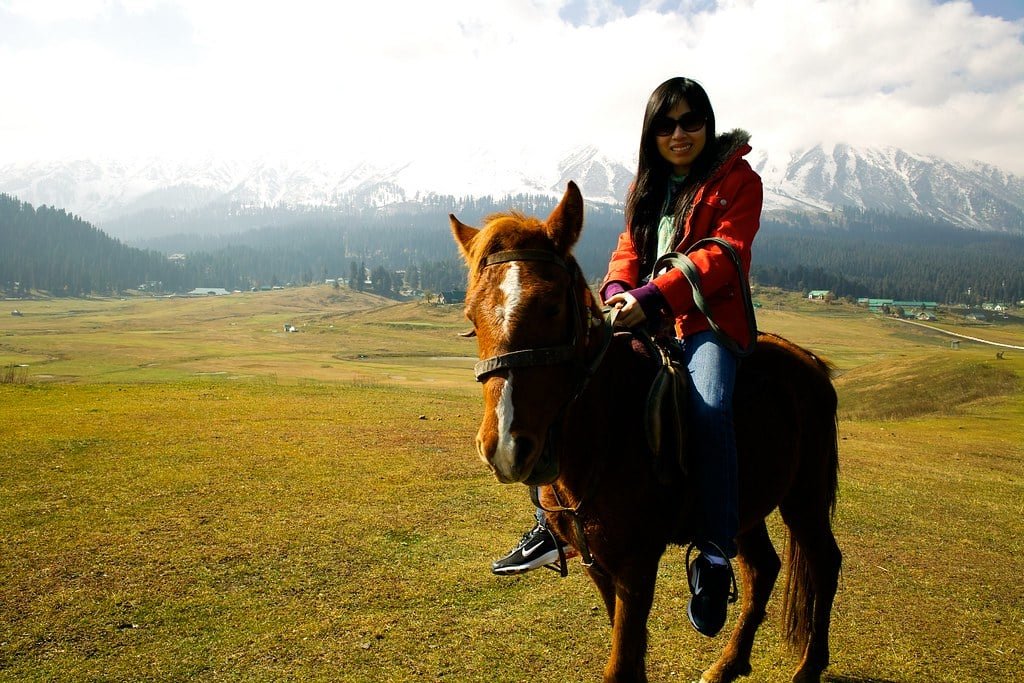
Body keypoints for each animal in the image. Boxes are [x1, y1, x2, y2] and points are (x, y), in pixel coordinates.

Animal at [449, 181, 841, 683]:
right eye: (470, 317)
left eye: (552, 306)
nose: (504, 447)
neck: (607, 430)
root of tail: (807, 361)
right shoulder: (599, 563)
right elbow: (627, 653)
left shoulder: (636, 564)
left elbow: (622, 663)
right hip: (748, 502)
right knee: (763, 569)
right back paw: (728, 663)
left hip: (804, 498)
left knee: (824, 563)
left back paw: (808, 667)